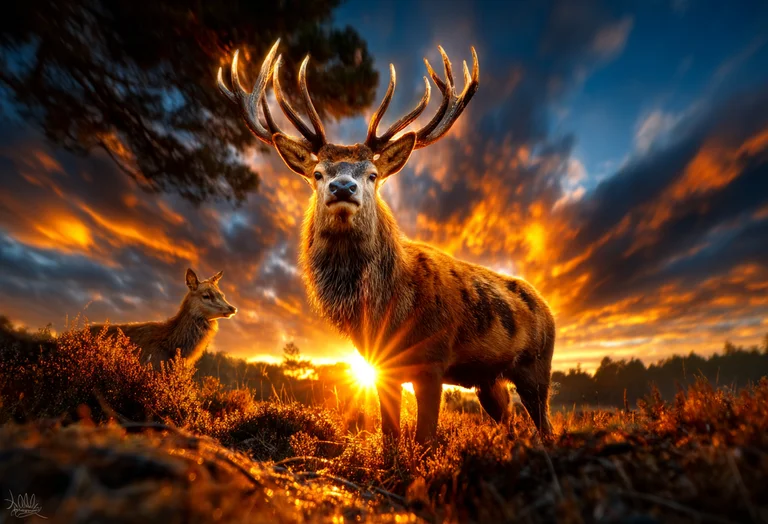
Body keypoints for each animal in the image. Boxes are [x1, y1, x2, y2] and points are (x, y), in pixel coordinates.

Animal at [218, 40, 555, 444]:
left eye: (373, 174)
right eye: (317, 173)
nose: (343, 187)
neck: (387, 311)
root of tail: (547, 307)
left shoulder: (432, 360)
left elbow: (424, 439)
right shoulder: (380, 366)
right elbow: (390, 438)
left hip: (537, 366)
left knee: (545, 423)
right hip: (488, 381)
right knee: (509, 419)